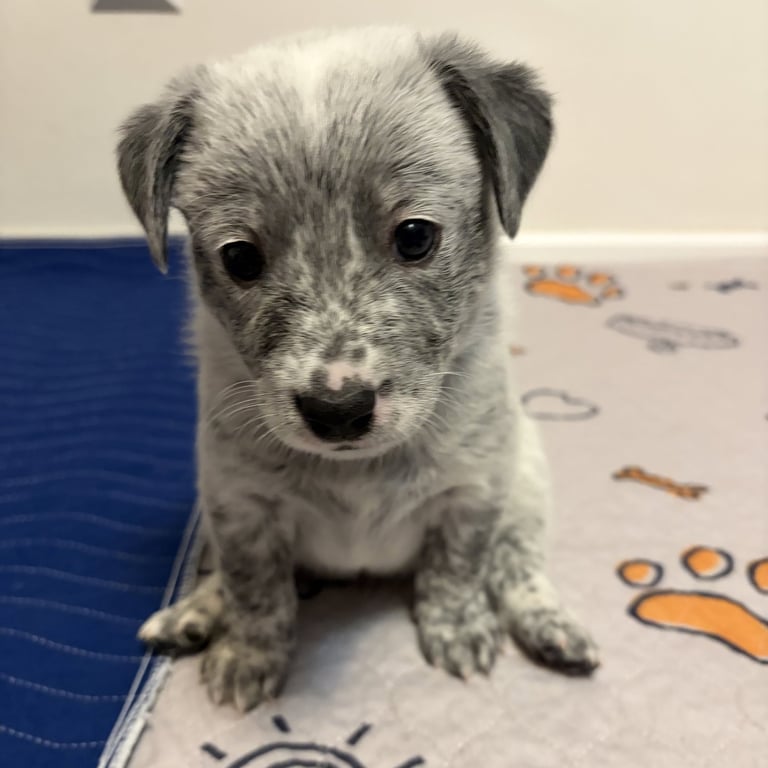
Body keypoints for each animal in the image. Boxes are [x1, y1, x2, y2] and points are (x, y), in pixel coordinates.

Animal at [117, 26, 599, 712]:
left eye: (416, 236)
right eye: (240, 258)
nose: (337, 412)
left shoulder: (473, 490)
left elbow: (457, 567)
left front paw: (456, 629)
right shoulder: (239, 503)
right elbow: (255, 588)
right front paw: (247, 655)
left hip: (528, 481)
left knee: (516, 565)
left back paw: (548, 625)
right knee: (221, 579)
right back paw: (194, 614)